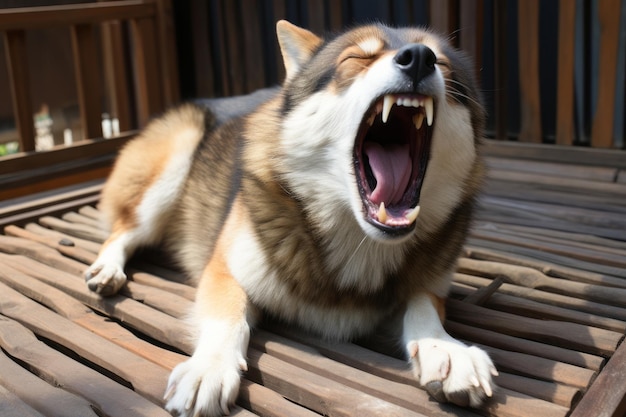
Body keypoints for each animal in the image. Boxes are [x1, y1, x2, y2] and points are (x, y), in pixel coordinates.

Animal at [85, 20, 498, 416]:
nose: (419, 59)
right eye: (356, 60)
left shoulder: (430, 283)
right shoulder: (225, 268)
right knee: (124, 229)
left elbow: (423, 304)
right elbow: (228, 318)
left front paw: (445, 348)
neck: (358, 239)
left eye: (442, 63)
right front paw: (210, 367)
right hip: (172, 163)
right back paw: (107, 268)